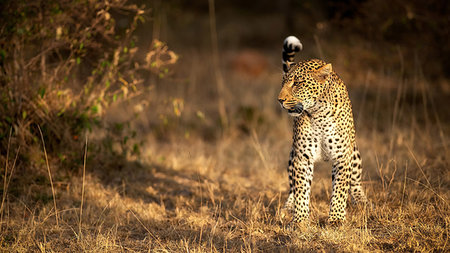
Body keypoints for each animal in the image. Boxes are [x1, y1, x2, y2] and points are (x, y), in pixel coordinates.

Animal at [278, 35, 370, 225]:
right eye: (283, 82)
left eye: (297, 83)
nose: (279, 100)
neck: (318, 113)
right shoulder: (302, 157)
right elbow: (301, 190)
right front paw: (299, 220)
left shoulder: (342, 156)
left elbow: (340, 189)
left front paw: (336, 219)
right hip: (292, 156)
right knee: (292, 187)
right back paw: (287, 208)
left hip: (354, 153)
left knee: (355, 183)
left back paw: (362, 203)